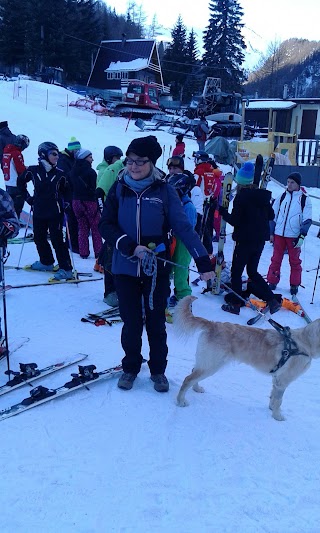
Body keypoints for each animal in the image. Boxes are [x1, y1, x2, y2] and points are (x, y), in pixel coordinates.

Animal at [175, 296, 320, 420]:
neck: (305, 342)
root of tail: (213, 324)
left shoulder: (276, 380)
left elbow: (273, 397)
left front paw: (271, 409)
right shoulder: (283, 381)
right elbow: (279, 400)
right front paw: (277, 416)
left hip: (206, 364)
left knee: (193, 372)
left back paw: (196, 388)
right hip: (211, 366)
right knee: (188, 379)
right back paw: (180, 401)